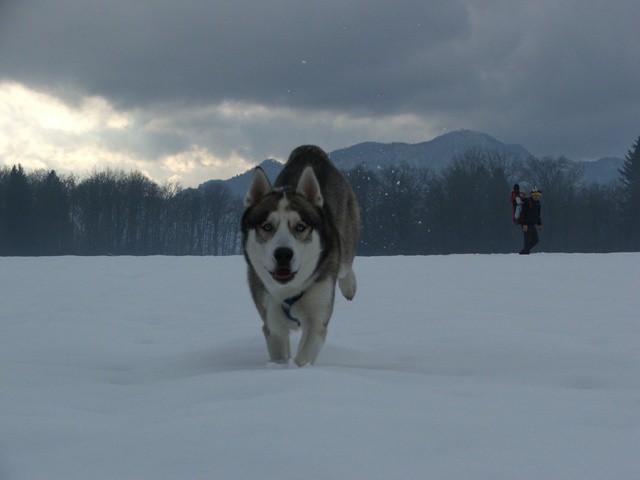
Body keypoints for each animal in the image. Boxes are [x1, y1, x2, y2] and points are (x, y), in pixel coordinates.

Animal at [241, 144, 358, 366]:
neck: (290, 290)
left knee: (346, 265)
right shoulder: (271, 319)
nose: (283, 254)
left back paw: (350, 287)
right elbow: (280, 354)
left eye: (300, 227)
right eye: (267, 227)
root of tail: (310, 149)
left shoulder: (317, 318)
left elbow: (303, 359)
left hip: (345, 241)